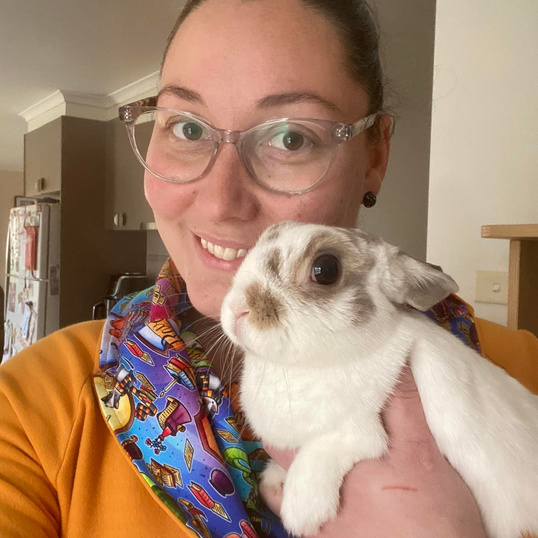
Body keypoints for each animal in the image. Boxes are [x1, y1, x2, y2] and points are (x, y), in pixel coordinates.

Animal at [219, 220, 536, 536]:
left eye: (326, 269)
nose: (236, 307)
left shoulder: (359, 431)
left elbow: (322, 451)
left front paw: (302, 513)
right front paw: (275, 478)